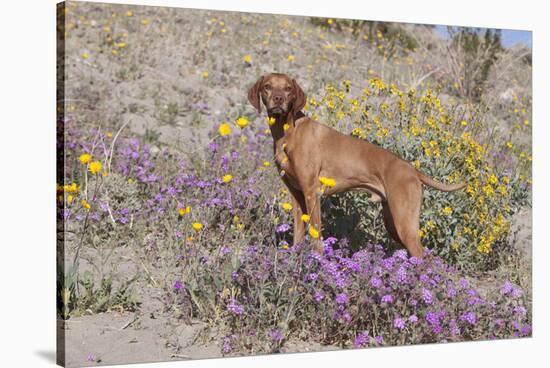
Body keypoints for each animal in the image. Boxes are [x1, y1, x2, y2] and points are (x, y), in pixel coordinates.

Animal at [248, 73, 468, 258]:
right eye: (268, 86)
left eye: (288, 89)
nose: (278, 99)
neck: (288, 132)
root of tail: (412, 169)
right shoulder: (297, 195)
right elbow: (298, 235)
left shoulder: (311, 192)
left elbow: (316, 236)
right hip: (392, 222)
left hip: (404, 223)